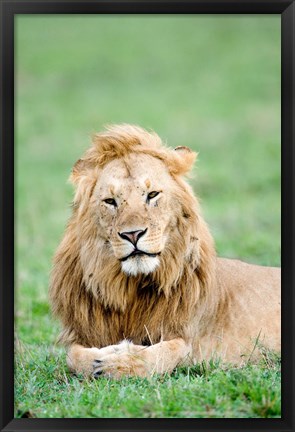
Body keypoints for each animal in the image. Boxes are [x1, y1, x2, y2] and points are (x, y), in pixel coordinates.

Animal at [49, 124, 280, 378]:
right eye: (110, 201)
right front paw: (103, 358)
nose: (133, 234)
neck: (132, 289)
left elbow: (163, 353)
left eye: (152, 195)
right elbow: (74, 356)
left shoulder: (194, 345)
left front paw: (118, 362)